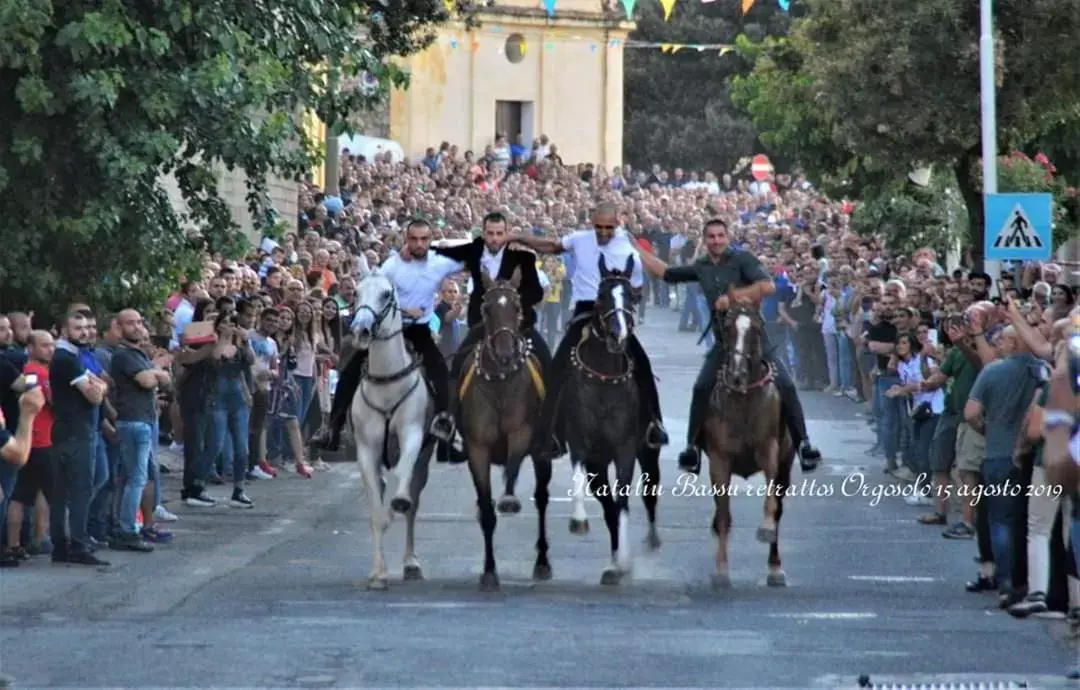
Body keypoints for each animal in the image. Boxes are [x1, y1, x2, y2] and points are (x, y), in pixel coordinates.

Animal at [345, 269, 434, 587]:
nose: (360, 330)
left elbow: (404, 482)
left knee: (413, 503)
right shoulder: (366, 450)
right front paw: (378, 573)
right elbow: (375, 513)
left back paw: (411, 563)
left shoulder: (412, 435)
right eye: (355, 292)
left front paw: (398, 502)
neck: (386, 384)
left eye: (386, 294)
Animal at [457, 267, 557, 591]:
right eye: (486, 309)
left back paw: (542, 563)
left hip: (542, 455)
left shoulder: (521, 433)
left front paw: (510, 498)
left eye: (516, 307)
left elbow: (513, 465)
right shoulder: (477, 448)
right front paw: (489, 572)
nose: (504, 354)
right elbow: (487, 511)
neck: (499, 382)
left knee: (542, 500)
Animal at [561, 256, 660, 587]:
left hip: (648, 451)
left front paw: (624, 561)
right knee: (606, 508)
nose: (619, 337)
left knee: (649, 491)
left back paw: (649, 540)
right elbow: (579, 476)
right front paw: (578, 521)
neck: (604, 380)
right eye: (602, 296)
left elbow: (624, 501)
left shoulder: (625, 448)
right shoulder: (580, 442)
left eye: (631, 296)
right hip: (598, 465)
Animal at [704, 300, 799, 587]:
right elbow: (724, 515)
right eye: (727, 329)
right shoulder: (719, 460)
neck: (744, 398)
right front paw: (721, 570)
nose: (736, 374)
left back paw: (775, 568)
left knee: (778, 507)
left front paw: (765, 529)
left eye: (757, 329)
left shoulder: (770, 451)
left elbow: (771, 501)